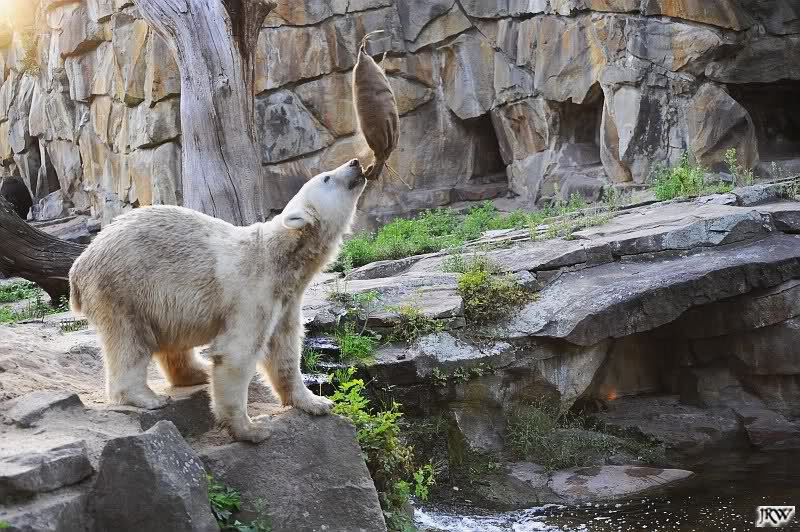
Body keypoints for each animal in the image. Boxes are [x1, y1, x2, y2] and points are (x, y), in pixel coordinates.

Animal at [69, 159, 367, 442]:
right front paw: (251, 429)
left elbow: (284, 347)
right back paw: (147, 397)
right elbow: (237, 352)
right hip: (124, 288)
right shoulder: (253, 291)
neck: (279, 256)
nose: (355, 163)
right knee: (130, 340)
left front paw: (316, 402)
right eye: (326, 177)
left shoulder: (286, 300)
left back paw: (197, 372)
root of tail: (79, 267)